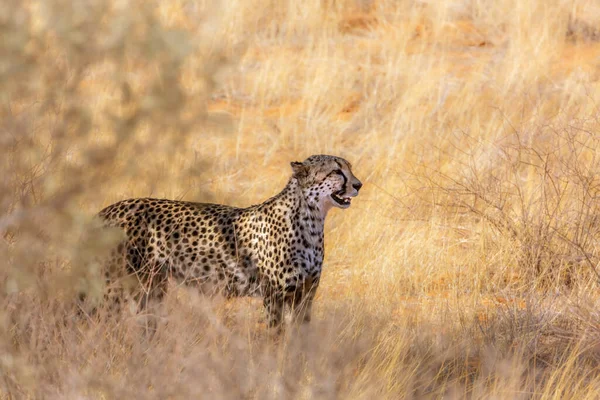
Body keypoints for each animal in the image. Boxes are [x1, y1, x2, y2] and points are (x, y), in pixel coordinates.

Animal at [97, 155, 360, 326]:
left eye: (350, 168)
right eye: (336, 171)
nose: (358, 184)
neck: (311, 220)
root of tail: (109, 208)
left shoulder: (306, 295)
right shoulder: (274, 295)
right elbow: (276, 337)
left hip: (151, 287)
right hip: (116, 286)